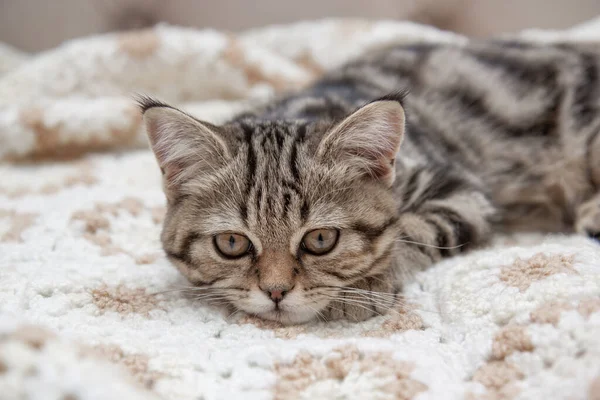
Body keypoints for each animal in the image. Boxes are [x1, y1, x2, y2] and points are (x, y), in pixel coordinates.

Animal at [139, 39, 600, 324]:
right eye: (231, 243)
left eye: (321, 239)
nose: (276, 292)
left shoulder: (459, 188)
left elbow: (413, 230)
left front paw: (363, 287)